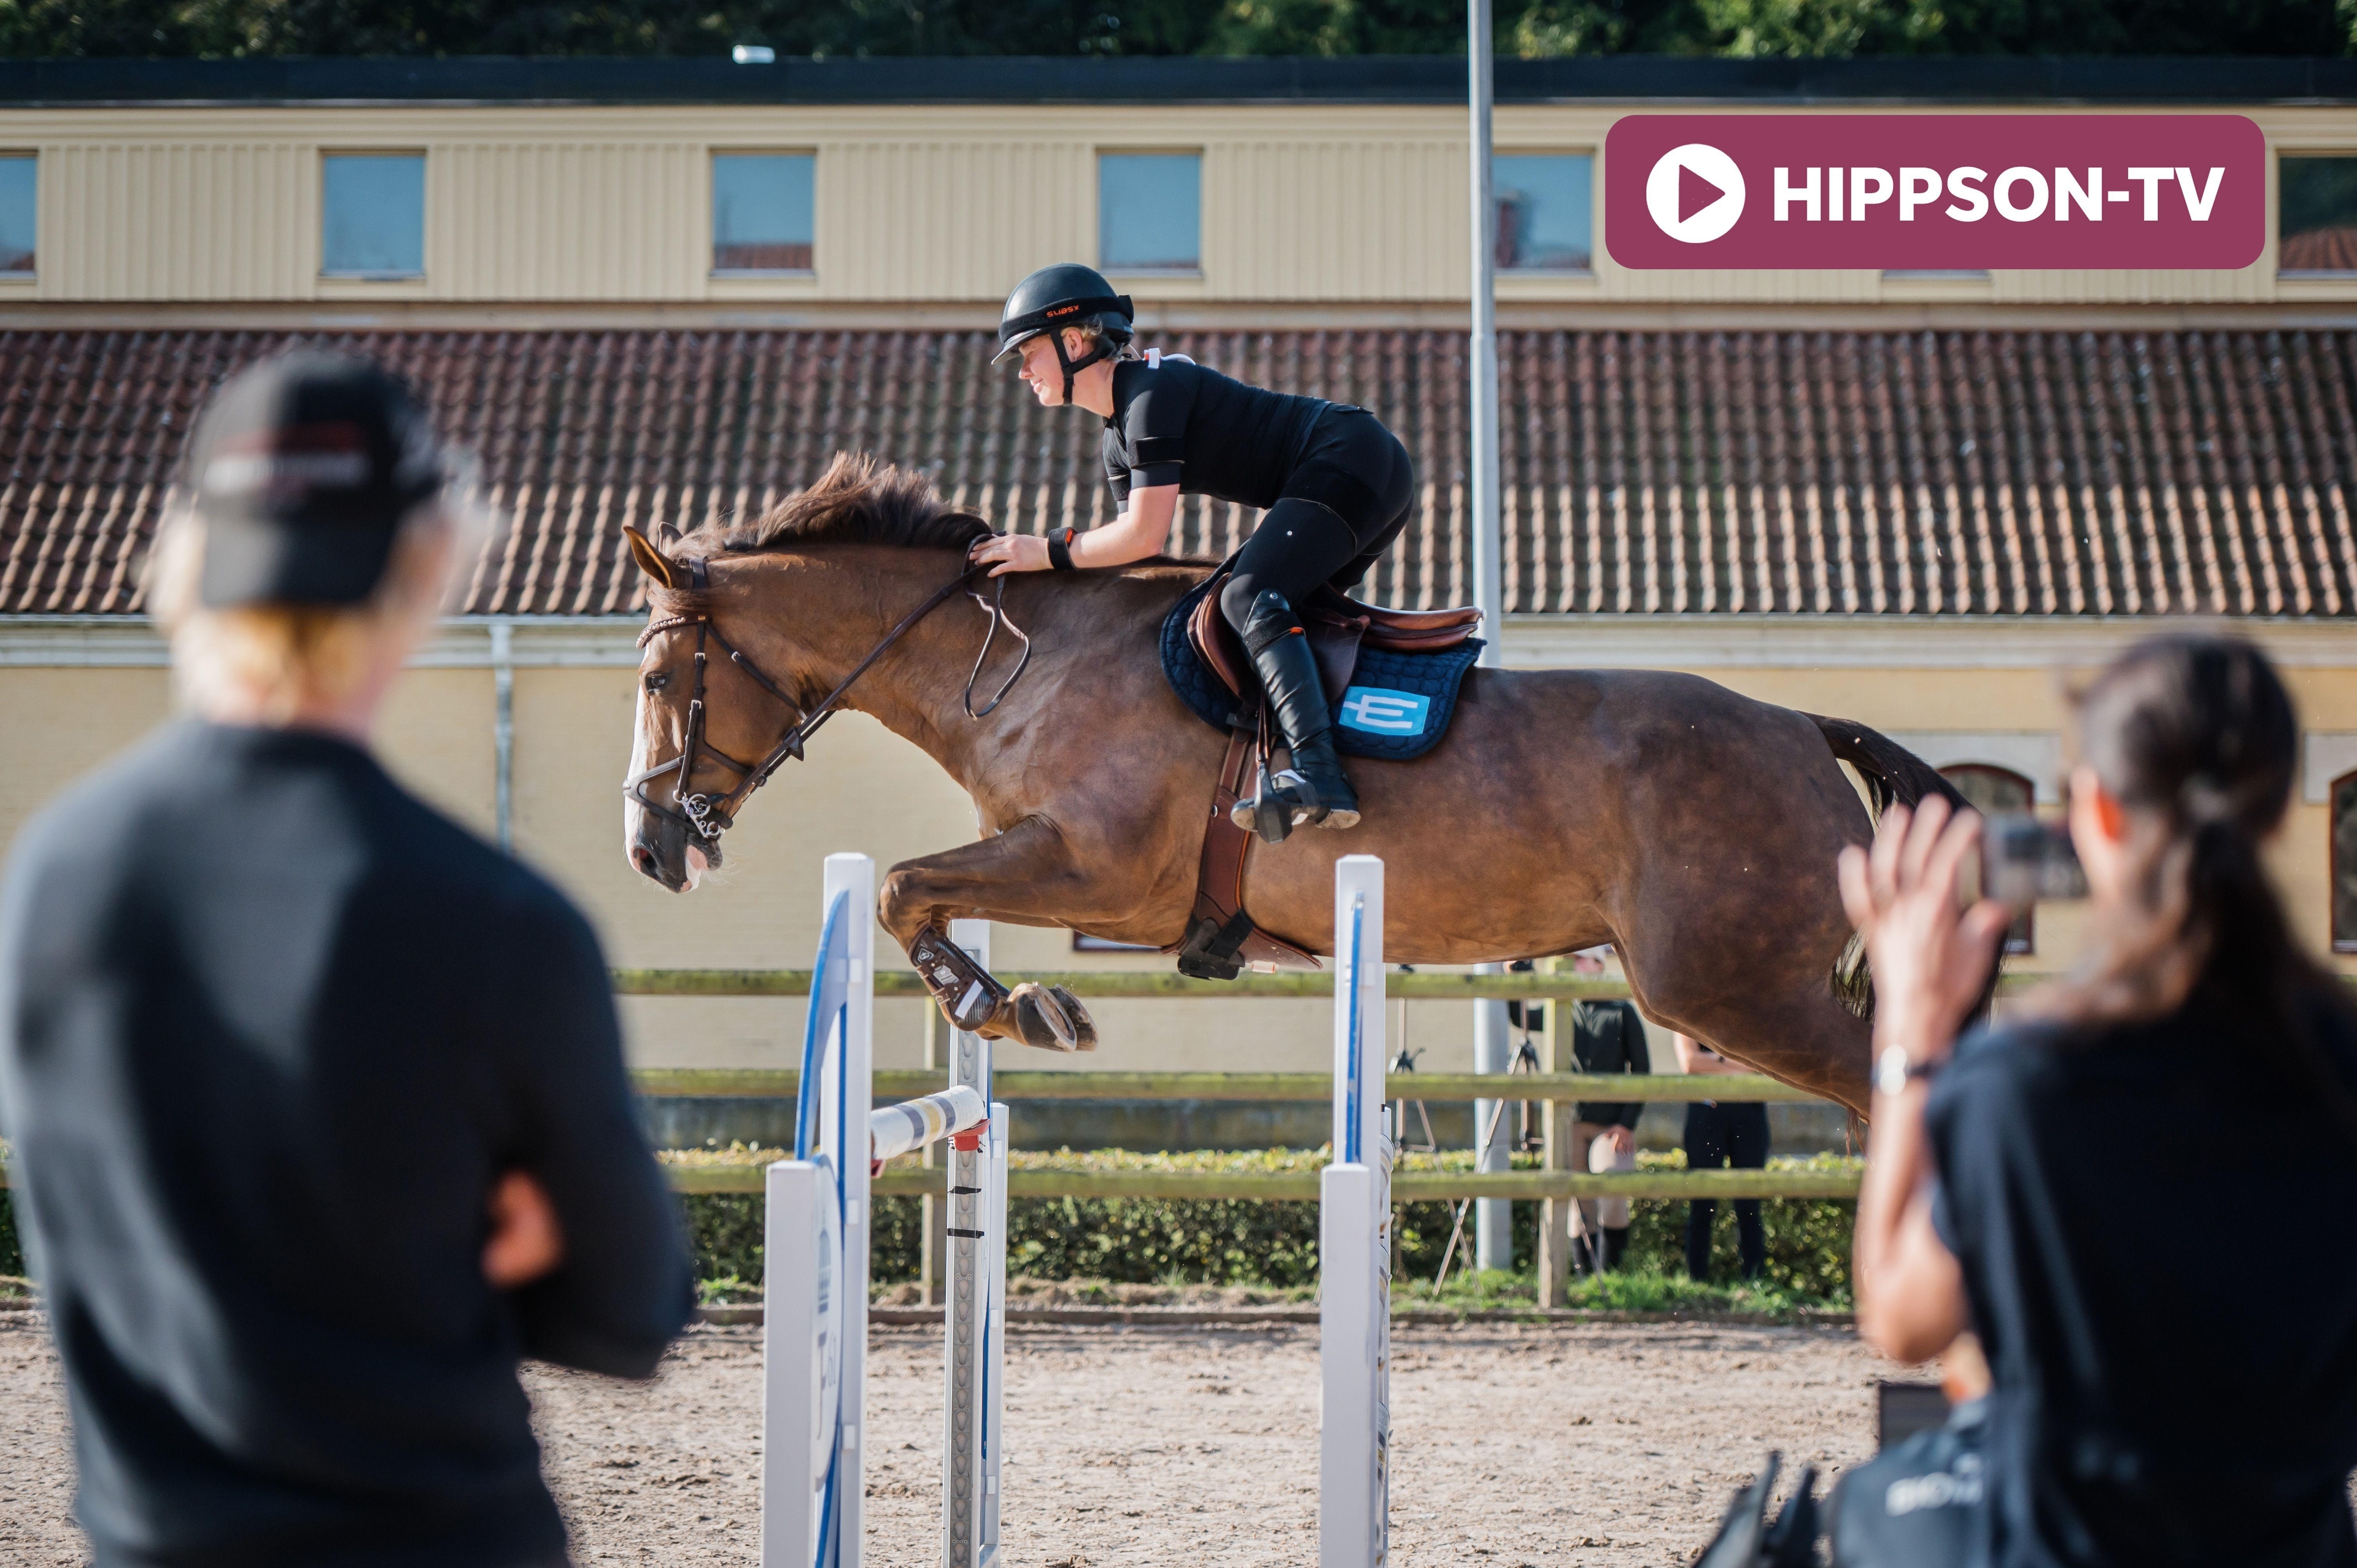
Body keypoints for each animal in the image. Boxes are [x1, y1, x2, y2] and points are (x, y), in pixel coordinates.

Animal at [622, 455, 1951, 1113]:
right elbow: (918, 892)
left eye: (658, 675)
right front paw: (1018, 1001)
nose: (648, 848)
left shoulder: (1107, 874)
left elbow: (903, 886)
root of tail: (1804, 728)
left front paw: (1012, 1006)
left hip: (1728, 989)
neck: (1023, 662)